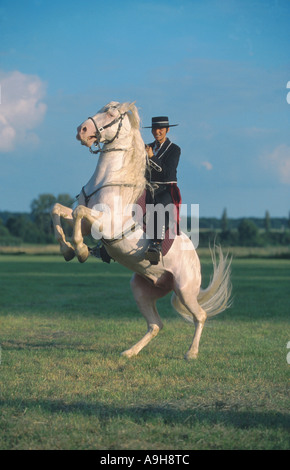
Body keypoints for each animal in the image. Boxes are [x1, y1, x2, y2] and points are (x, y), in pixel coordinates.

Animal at [50, 101, 231, 360]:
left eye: (111, 113)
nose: (82, 130)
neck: (107, 181)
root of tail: (195, 260)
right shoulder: (86, 222)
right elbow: (58, 210)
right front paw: (67, 250)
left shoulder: (106, 223)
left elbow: (78, 213)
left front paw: (82, 251)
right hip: (143, 289)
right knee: (156, 325)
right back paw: (129, 352)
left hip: (185, 290)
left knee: (200, 316)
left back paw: (191, 353)